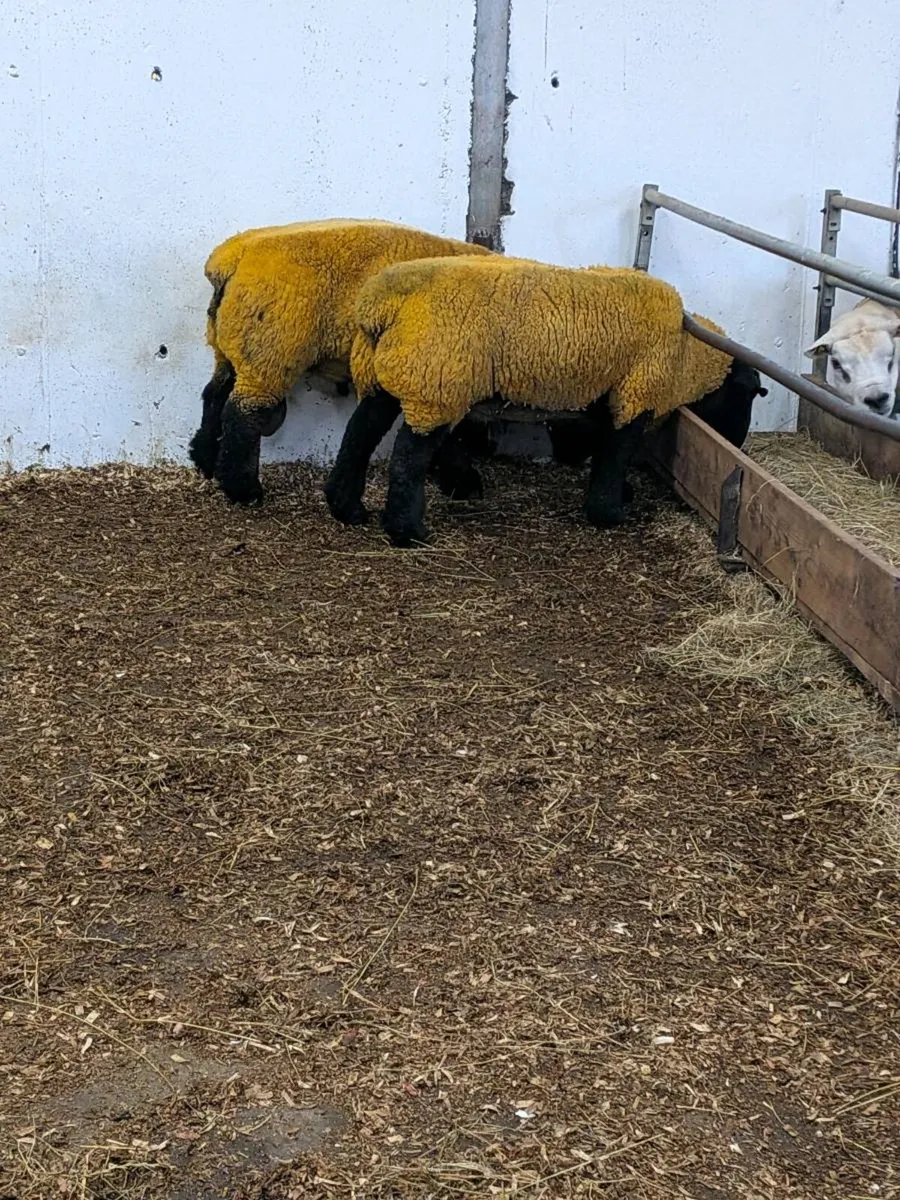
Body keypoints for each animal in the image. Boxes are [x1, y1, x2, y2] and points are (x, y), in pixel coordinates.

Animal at [188, 218, 494, 506]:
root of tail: (231, 258)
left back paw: (205, 461)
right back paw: (244, 491)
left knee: (215, 394)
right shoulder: (437, 373)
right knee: (242, 415)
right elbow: (447, 435)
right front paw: (464, 482)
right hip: (268, 351)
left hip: (231, 345)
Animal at [325, 256, 750, 546]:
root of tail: (382, 304)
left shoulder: (597, 394)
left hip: (384, 379)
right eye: (748, 394)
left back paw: (347, 509)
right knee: (407, 459)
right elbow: (617, 451)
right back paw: (408, 532)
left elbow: (597, 445)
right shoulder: (634, 393)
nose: (738, 442)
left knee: (357, 437)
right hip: (436, 384)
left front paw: (619, 494)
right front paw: (610, 513)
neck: (685, 354)